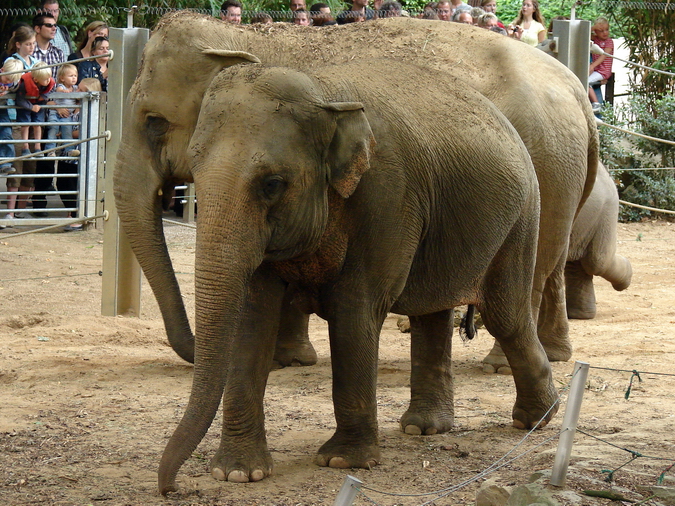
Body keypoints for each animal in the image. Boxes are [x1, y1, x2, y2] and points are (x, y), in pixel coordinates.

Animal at [112, 12, 598, 373]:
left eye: (154, 122)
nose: (198, 351)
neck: (247, 38)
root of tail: (578, 90)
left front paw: (284, 360)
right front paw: (291, 359)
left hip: (545, 163)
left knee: (532, 267)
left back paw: (498, 363)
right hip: (562, 169)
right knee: (553, 258)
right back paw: (557, 353)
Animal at [152, 60, 558, 494]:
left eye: (272, 184)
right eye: (194, 174)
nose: (171, 488)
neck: (324, 95)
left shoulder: (388, 195)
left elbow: (355, 311)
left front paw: (343, 461)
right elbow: (254, 316)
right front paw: (237, 473)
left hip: (523, 219)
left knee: (505, 317)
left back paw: (536, 419)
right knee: (432, 312)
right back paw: (424, 429)